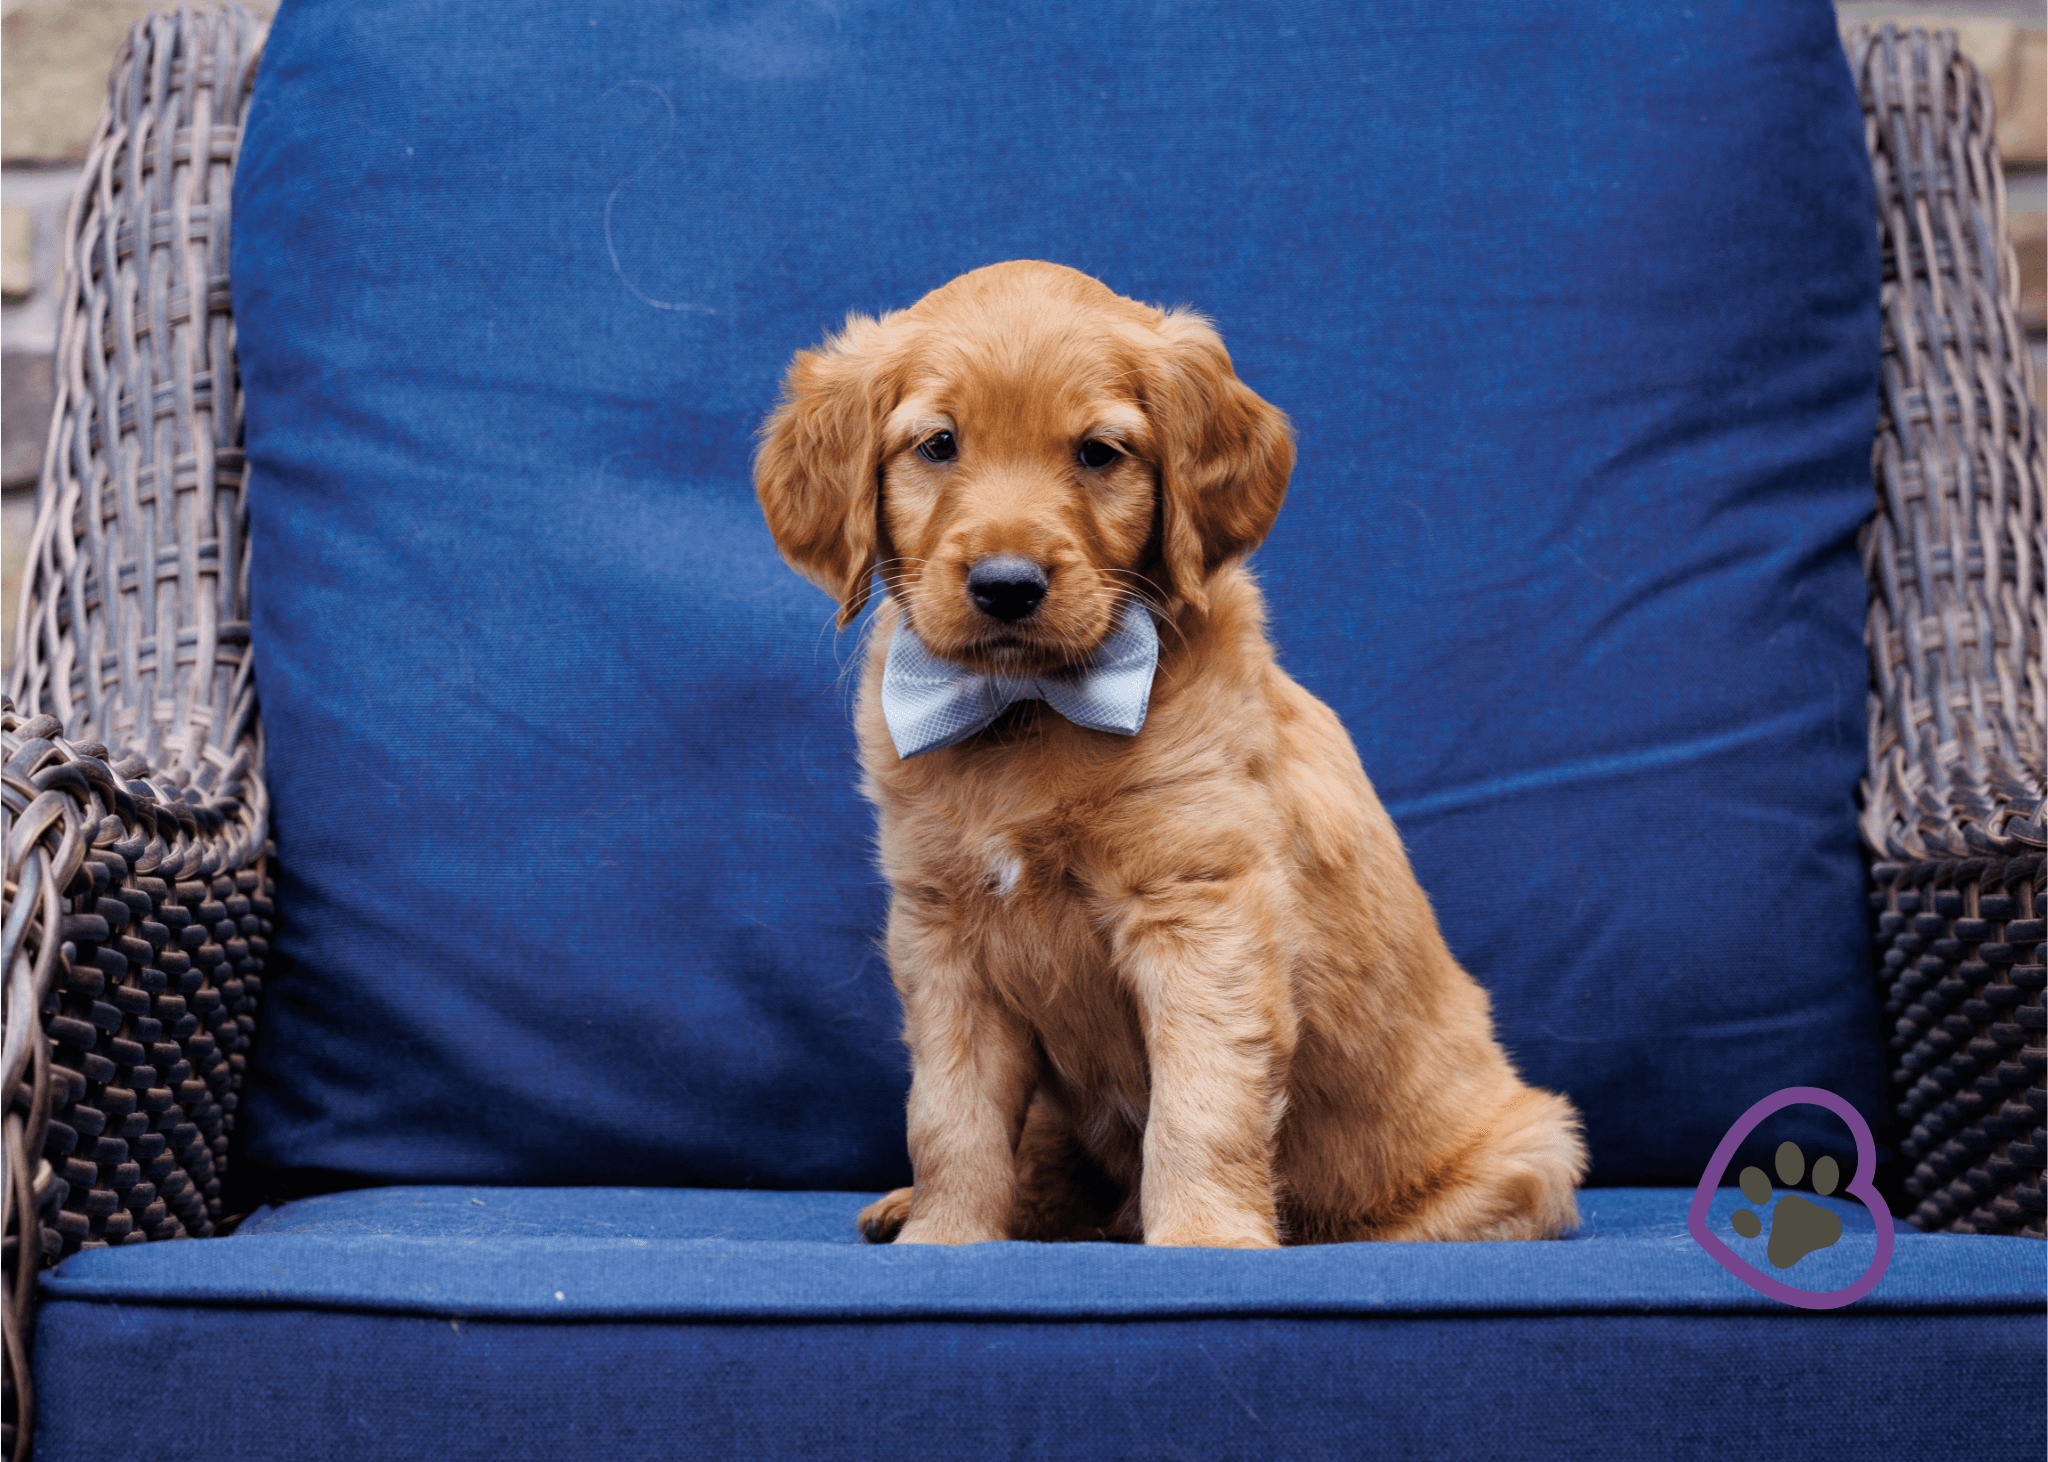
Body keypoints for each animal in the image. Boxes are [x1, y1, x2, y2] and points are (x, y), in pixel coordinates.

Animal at [753, 262, 1581, 1244]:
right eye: (939, 445)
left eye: (1098, 453)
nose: (1006, 586)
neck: (1031, 712)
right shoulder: (942, 934)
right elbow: (949, 1116)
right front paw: (947, 1234)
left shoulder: (1201, 911)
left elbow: (1203, 1100)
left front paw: (1206, 1236)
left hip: (1526, 1152)